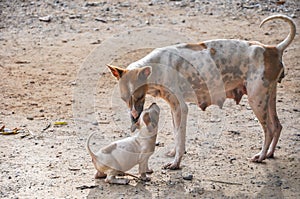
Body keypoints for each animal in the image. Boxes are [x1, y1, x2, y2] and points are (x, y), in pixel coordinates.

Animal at [107, 14, 296, 169]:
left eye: (139, 96)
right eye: (124, 98)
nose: (133, 117)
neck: (157, 66)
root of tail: (273, 49)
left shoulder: (181, 108)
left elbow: (180, 136)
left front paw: (176, 162)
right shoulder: (174, 108)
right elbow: (177, 134)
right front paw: (174, 153)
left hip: (257, 101)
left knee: (269, 129)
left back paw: (262, 156)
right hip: (268, 98)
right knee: (278, 126)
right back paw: (270, 153)